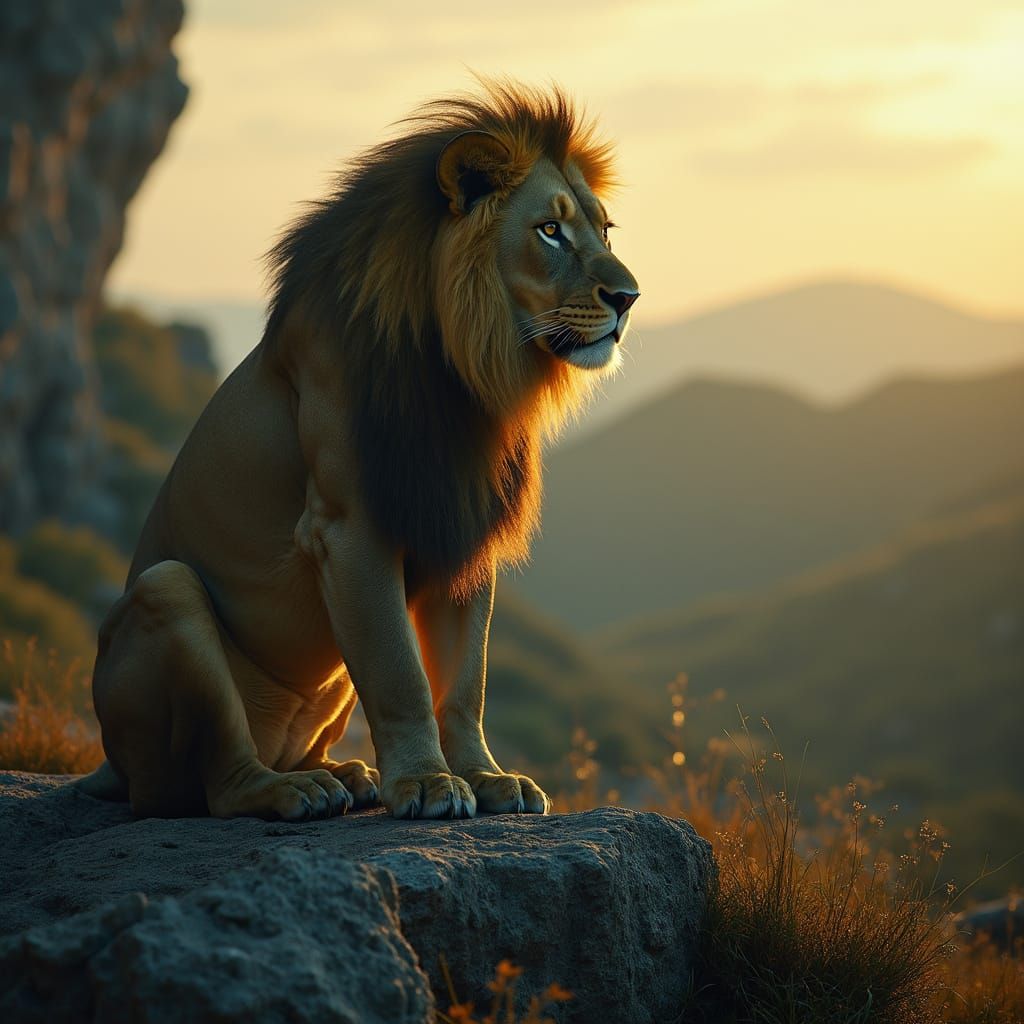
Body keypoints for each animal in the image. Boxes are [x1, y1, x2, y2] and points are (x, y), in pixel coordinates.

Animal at [78, 80, 639, 821]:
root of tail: (106, 762)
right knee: (221, 781)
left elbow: (465, 683)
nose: (629, 297)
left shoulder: (461, 526)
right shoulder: (349, 528)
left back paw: (343, 774)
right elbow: (401, 674)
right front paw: (428, 783)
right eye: (550, 230)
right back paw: (293, 791)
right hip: (165, 593)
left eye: (603, 231)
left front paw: (488, 779)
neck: (464, 377)